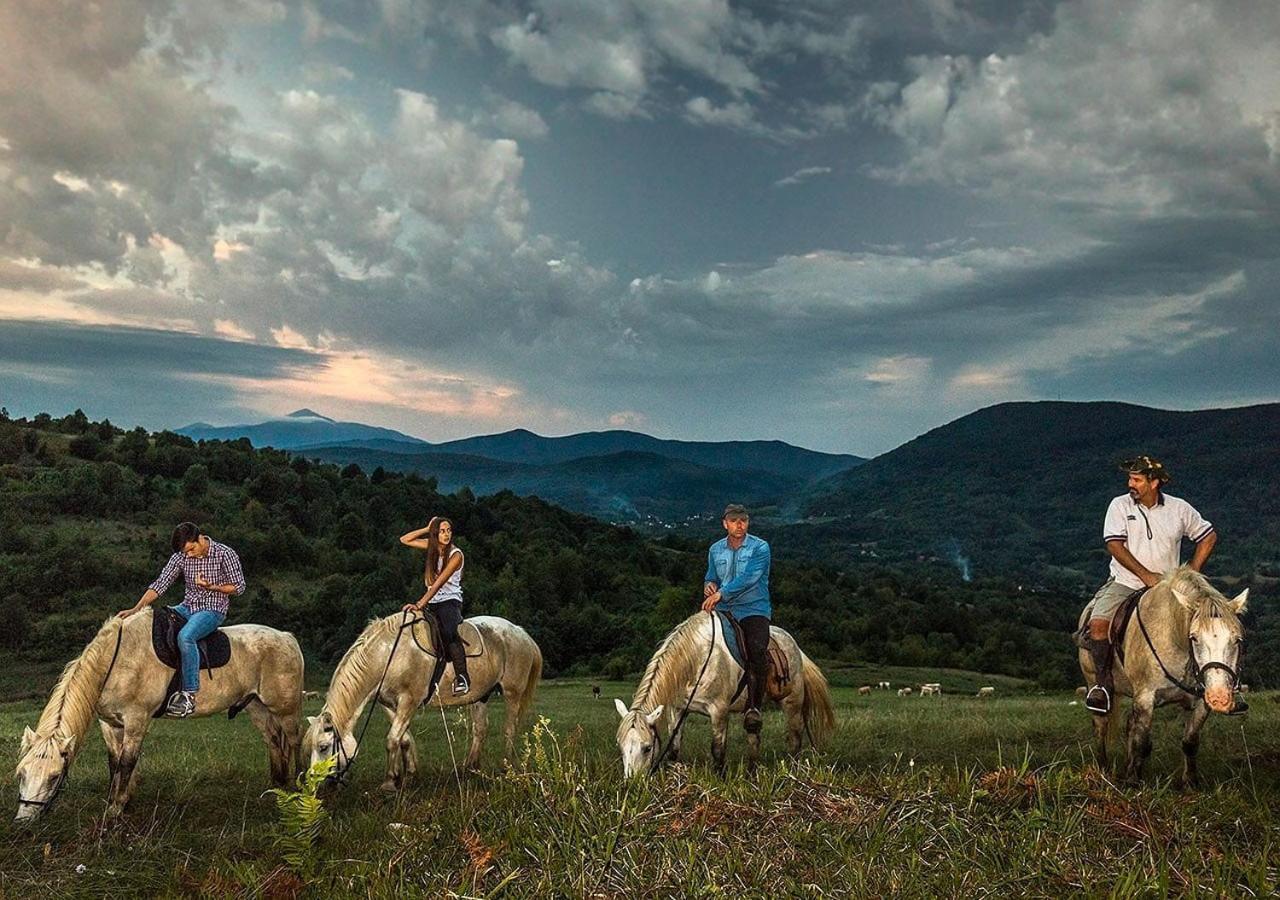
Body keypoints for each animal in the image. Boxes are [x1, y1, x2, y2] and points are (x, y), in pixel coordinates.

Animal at [15, 611, 304, 824]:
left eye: (54, 776)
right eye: (22, 773)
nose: (24, 820)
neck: (116, 661)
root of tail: (287, 638)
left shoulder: (136, 719)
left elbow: (127, 762)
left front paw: (117, 808)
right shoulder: (109, 723)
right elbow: (114, 762)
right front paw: (117, 800)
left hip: (285, 709)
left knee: (294, 740)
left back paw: (299, 786)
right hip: (257, 706)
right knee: (274, 741)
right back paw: (275, 788)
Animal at [307, 609, 542, 793]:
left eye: (323, 747)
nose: (317, 784)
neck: (389, 655)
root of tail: (521, 633)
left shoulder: (408, 701)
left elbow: (392, 739)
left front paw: (389, 782)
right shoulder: (389, 704)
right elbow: (403, 739)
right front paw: (408, 775)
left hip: (513, 693)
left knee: (509, 729)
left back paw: (506, 767)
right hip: (480, 696)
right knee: (481, 729)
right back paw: (469, 768)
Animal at [614, 617, 834, 778]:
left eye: (647, 747)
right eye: (620, 747)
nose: (632, 783)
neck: (697, 659)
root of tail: (796, 647)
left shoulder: (718, 710)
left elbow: (718, 750)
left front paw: (720, 779)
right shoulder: (678, 710)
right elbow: (674, 748)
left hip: (792, 703)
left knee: (795, 739)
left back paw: (793, 773)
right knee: (754, 735)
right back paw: (751, 774)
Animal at [1075, 570, 1244, 788]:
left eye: (1237, 640)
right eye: (1194, 637)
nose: (1219, 697)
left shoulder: (1200, 702)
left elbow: (1190, 742)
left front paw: (1190, 783)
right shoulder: (1145, 697)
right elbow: (1142, 743)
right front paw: (1133, 781)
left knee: (1130, 724)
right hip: (1093, 683)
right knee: (1100, 726)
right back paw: (1103, 770)